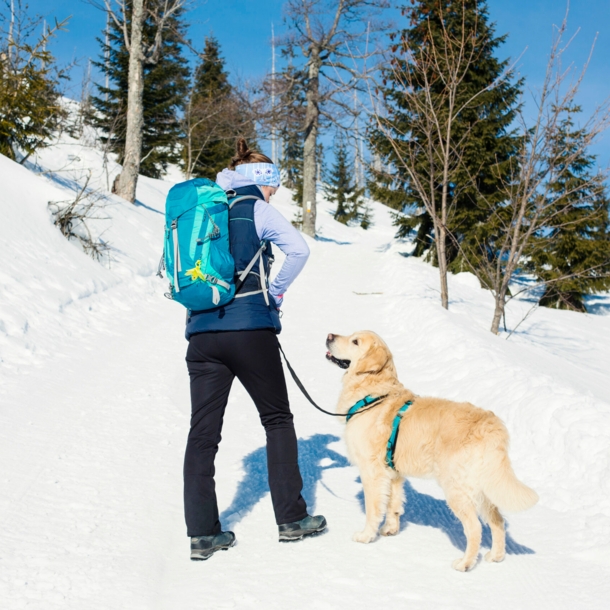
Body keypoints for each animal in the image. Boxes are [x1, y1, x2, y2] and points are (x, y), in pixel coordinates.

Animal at [326, 330, 536, 568]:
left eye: (355, 342)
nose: (329, 335)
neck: (373, 394)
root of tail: (491, 425)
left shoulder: (372, 472)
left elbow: (374, 508)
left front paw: (366, 536)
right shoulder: (393, 473)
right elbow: (393, 504)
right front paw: (390, 529)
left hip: (456, 488)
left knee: (474, 527)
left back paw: (465, 563)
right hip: (483, 487)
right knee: (498, 520)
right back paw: (496, 555)